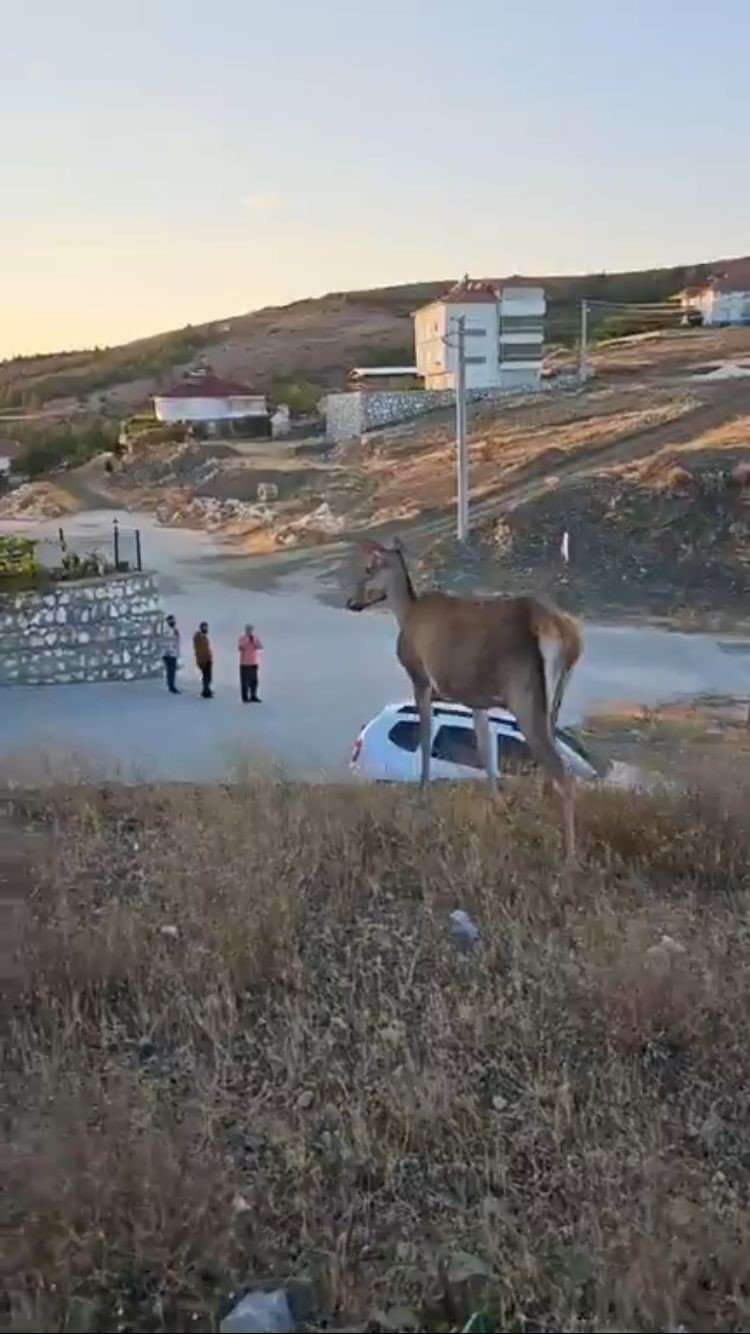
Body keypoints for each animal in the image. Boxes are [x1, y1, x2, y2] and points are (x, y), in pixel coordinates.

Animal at [346, 538, 581, 859]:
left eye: (369, 568)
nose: (350, 601)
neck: (405, 613)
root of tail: (563, 637)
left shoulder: (420, 677)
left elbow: (425, 736)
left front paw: (423, 795)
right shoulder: (477, 700)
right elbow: (485, 750)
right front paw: (497, 806)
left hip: (523, 693)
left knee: (562, 773)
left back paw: (569, 855)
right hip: (554, 700)